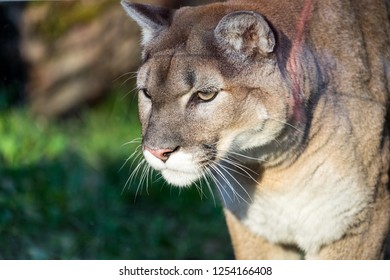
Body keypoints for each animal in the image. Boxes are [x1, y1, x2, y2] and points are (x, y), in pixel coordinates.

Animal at [121, 0, 390, 260]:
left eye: (205, 95)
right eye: (147, 93)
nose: (157, 152)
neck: (275, 166)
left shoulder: (356, 228)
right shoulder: (256, 232)